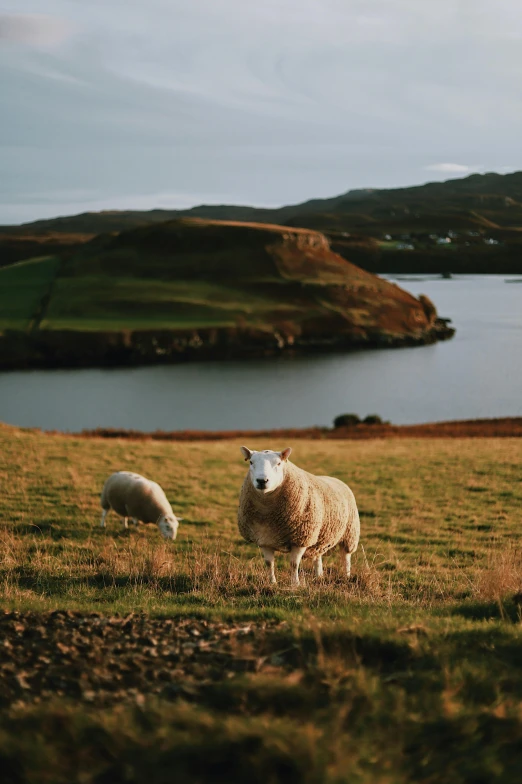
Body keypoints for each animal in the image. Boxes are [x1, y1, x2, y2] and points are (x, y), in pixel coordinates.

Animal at [238, 444, 360, 584]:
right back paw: (319, 576)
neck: (267, 511)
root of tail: (335, 479)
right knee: (317, 556)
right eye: (251, 462)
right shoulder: (264, 539)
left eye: (279, 463)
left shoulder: (301, 539)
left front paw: (295, 584)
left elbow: (294, 564)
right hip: (319, 535)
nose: (262, 481)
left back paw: (347, 576)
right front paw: (272, 583)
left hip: (350, 533)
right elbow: (269, 563)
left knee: (346, 557)